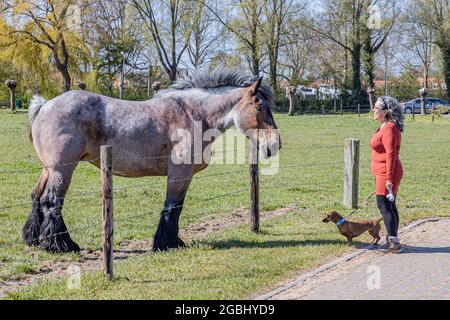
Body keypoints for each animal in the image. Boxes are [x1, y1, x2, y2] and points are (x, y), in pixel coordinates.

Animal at [23, 69, 282, 252]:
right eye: (259, 107)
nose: (275, 144)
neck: (192, 114)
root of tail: (45, 105)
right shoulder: (179, 174)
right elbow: (172, 207)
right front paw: (166, 243)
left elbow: (176, 208)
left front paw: (172, 241)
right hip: (62, 170)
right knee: (51, 201)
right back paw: (61, 245)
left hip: (48, 169)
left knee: (36, 196)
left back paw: (33, 238)